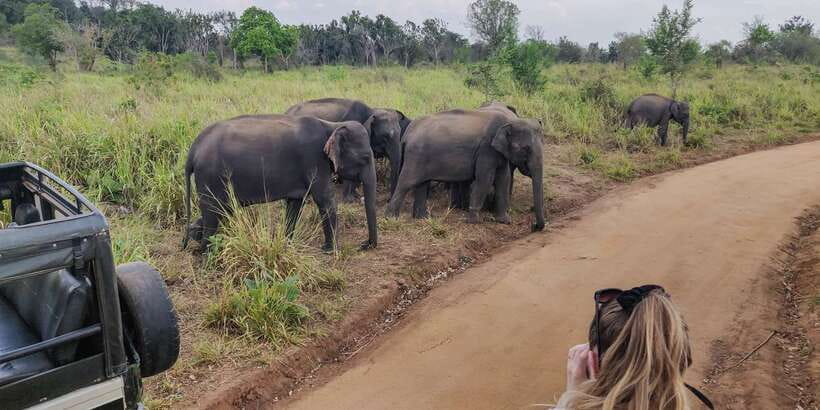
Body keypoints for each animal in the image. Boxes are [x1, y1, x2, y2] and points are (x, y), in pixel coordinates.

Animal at [182, 115, 378, 252]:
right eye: (365, 158)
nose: (363, 245)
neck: (333, 125)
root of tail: (193, 150)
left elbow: (295, 204)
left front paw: (287, 244)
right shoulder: (314, 160)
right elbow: (325, 200)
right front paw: (330, 250)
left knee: (219, 210)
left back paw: (194, 237)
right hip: (210, 176)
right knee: (213, 212)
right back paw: (208, 254)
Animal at [386, 109, 546, 231]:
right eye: (525, 148)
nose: (534, 226)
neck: (509, 121)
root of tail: (407, 133)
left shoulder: (499, 152)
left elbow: (503, 179)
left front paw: (505, 221)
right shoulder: (486, 149)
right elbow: (485, 179)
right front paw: (475, 221)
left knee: (422, 184)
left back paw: (423, 218)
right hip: (416, 156)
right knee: (406, 182)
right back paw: (391, 218)